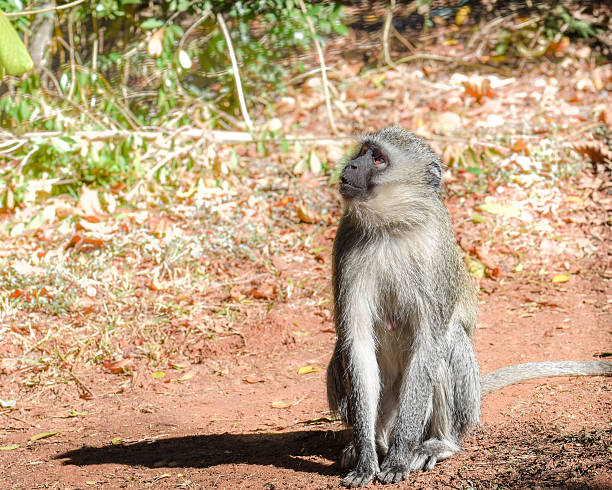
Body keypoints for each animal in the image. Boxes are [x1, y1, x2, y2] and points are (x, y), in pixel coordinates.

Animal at [330, 126, 612, 486]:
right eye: (362, 151)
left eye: (378, 158)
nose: (351, 165)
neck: (392, 227)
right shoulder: (347, 244)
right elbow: (358, 344)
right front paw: (367, 459)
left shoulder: (434, 253)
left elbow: (428, 345)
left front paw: (398, 457)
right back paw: (371, 443)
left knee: (447, 341)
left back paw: (438, 443)